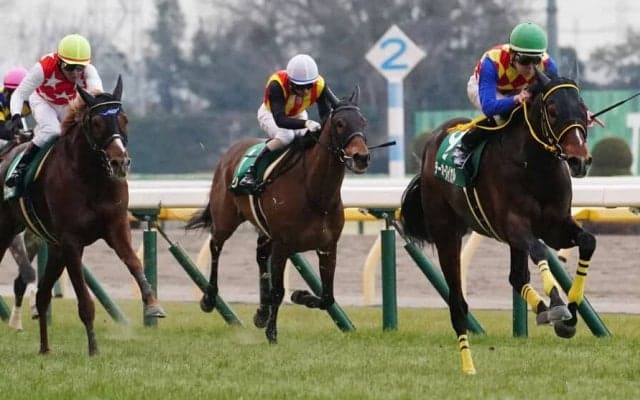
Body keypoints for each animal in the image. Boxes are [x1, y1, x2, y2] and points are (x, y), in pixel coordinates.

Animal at [0, 76, 166, 355]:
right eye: (97, 122)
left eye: (125, 118)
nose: (120, 162)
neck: (91, 178)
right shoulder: (71, 242)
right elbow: (84, 299)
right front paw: (94, 349)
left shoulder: (116, 227)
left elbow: (134, 262)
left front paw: (152, 303)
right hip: (9, 231)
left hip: (53, 248)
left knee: (42, 295)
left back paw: (44, 348)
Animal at [186, 88, 369, 344]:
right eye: (340, 123)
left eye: (363, 121)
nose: (362, 157)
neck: (314, 194)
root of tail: (231, 151)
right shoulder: (283, 245)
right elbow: (278, 291)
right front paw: (272, 334)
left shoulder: (328, 246)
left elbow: (327, 297)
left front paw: (300, 296)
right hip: (225, 218)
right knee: (215, 247)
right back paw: (209, 298)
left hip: (264, 231)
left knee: (260, 256)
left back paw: (261, 313)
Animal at [399, 71, 596, 375]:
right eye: (552, 111)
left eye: (583, 109)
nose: (579, 160)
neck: (535, 167)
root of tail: (432, 141)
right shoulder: (512, 226)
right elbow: (539, 250)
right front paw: (557, 305)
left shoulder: (556, 226)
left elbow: (587, 241)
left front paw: (570, 313)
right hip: (447, 234)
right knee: (458, 304)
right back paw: (468, 366)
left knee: (516, 277)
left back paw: (542, 311)